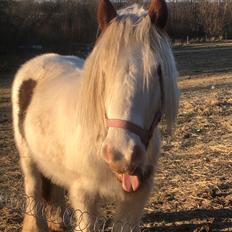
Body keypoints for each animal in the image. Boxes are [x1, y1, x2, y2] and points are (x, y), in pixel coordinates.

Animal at [11, 0, 179, 231]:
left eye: (157, 71)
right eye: (103, 72)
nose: (121, 153)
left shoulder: (138, 195)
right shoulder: (84, 194)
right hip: (28, 157)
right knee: (33, 189)